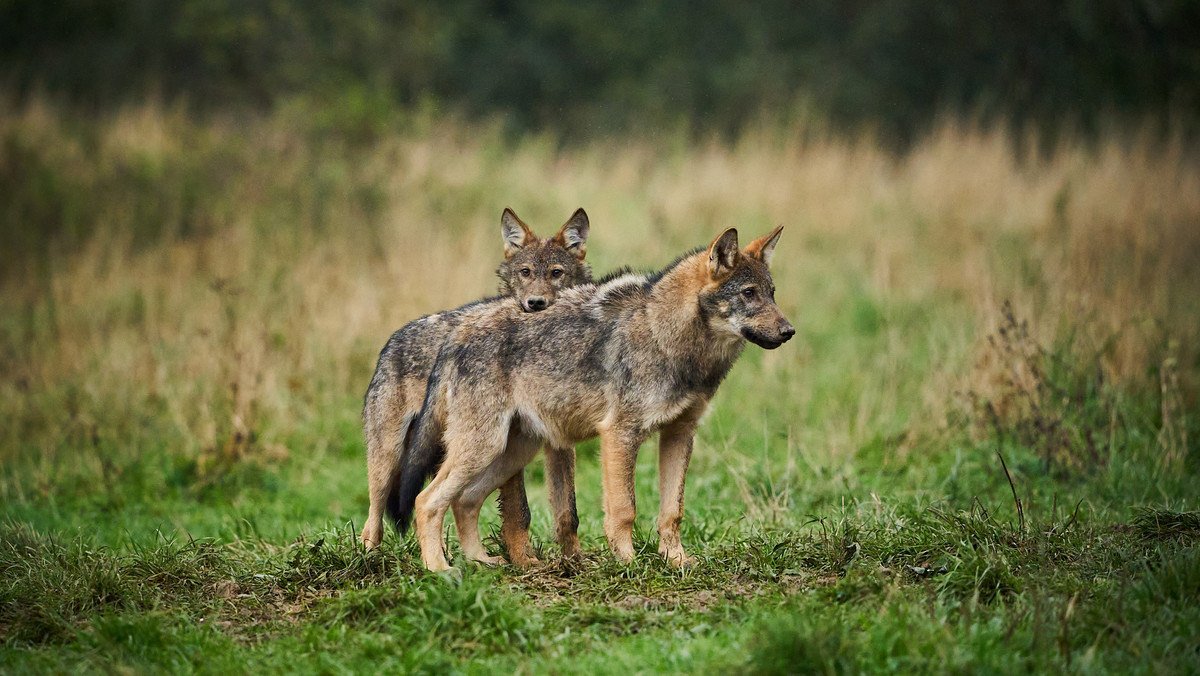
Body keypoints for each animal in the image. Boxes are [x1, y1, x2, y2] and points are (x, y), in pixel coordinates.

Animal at [360, 207, 595, 561]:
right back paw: (373, 558)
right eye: (525, 272)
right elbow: (519, 511)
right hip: (389, 458)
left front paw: (575, 561)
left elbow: (569, 511)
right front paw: (525, 561)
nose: (535, 303)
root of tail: (394, 338)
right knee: (374, 518)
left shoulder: (559, 441)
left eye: (556, 273)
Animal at [388, 223, 792, 571]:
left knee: (465, 501)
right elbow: (624, 509)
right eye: (748, 293)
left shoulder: (680, 432)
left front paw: (676, 562)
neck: (670, 340)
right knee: (426, 501)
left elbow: (672, 511)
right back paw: (440, 569)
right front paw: (628, 564)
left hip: (510, 452)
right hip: (483, 449)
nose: (789, 331)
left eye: (772, 293)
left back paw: (481, 563)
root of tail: (456, 333)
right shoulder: (619, 434)